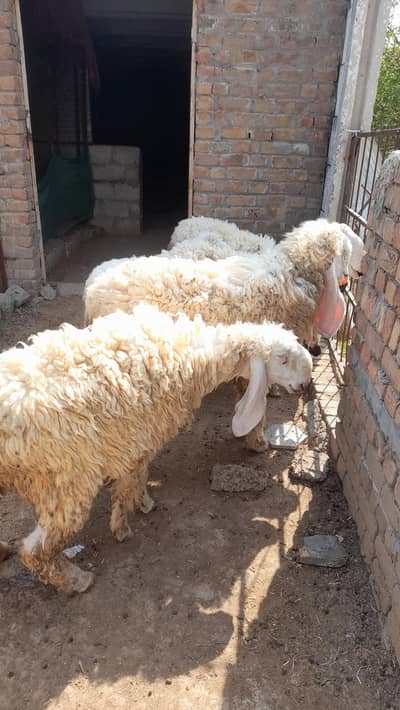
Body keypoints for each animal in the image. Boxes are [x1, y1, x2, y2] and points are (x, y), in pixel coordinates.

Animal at [0, 305, 312, 593]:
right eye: (283, 358)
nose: (306, 381)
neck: (191, 358)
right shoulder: (139, 438)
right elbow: (133, 479)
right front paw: (130, 518)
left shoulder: (133, 442)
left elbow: (131, 479)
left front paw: (132, 511)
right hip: (66, 480)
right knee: (36, 549)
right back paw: (76, 580)